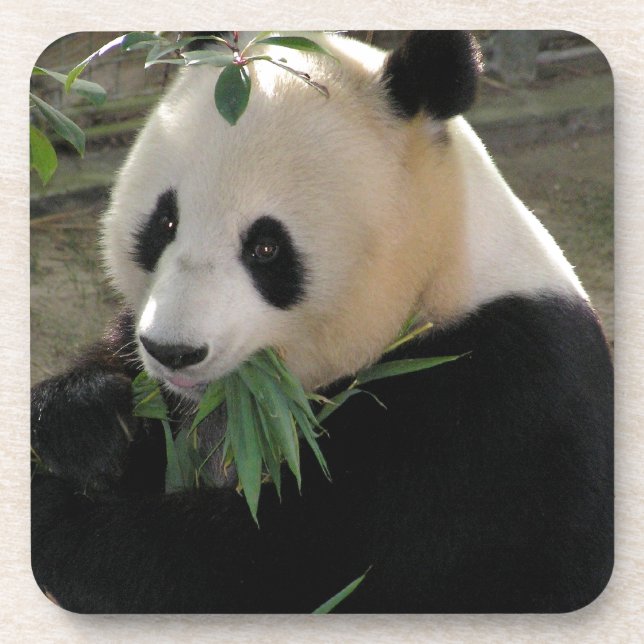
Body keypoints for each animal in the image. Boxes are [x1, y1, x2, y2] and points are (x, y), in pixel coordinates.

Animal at [31, 31, 613, 613]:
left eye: (266, 248)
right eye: (165, 223)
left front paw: (58, 514)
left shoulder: (489, 406)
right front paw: (87, 423)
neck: (435, 285)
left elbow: (286, 562)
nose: (173, 351)